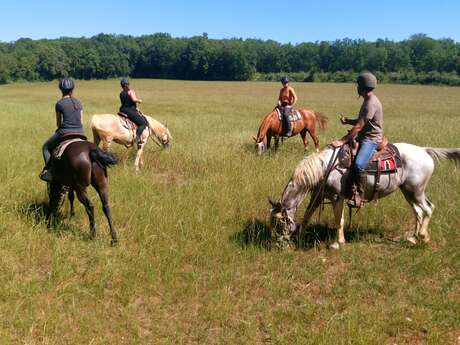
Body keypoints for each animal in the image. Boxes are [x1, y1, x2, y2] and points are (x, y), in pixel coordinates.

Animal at [270, 144, 460, 249]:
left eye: (279, 223)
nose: (278, 242)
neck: (325, 167)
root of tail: (424, 150)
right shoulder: (318, 196)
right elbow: (307, 215)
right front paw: (300, 236)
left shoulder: (337, 197)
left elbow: (339, 221)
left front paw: (337, 243)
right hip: (408, 191)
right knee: (418, 212)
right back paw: (413, 238)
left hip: (416, 190)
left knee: (428, 208)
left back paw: (422, 236)